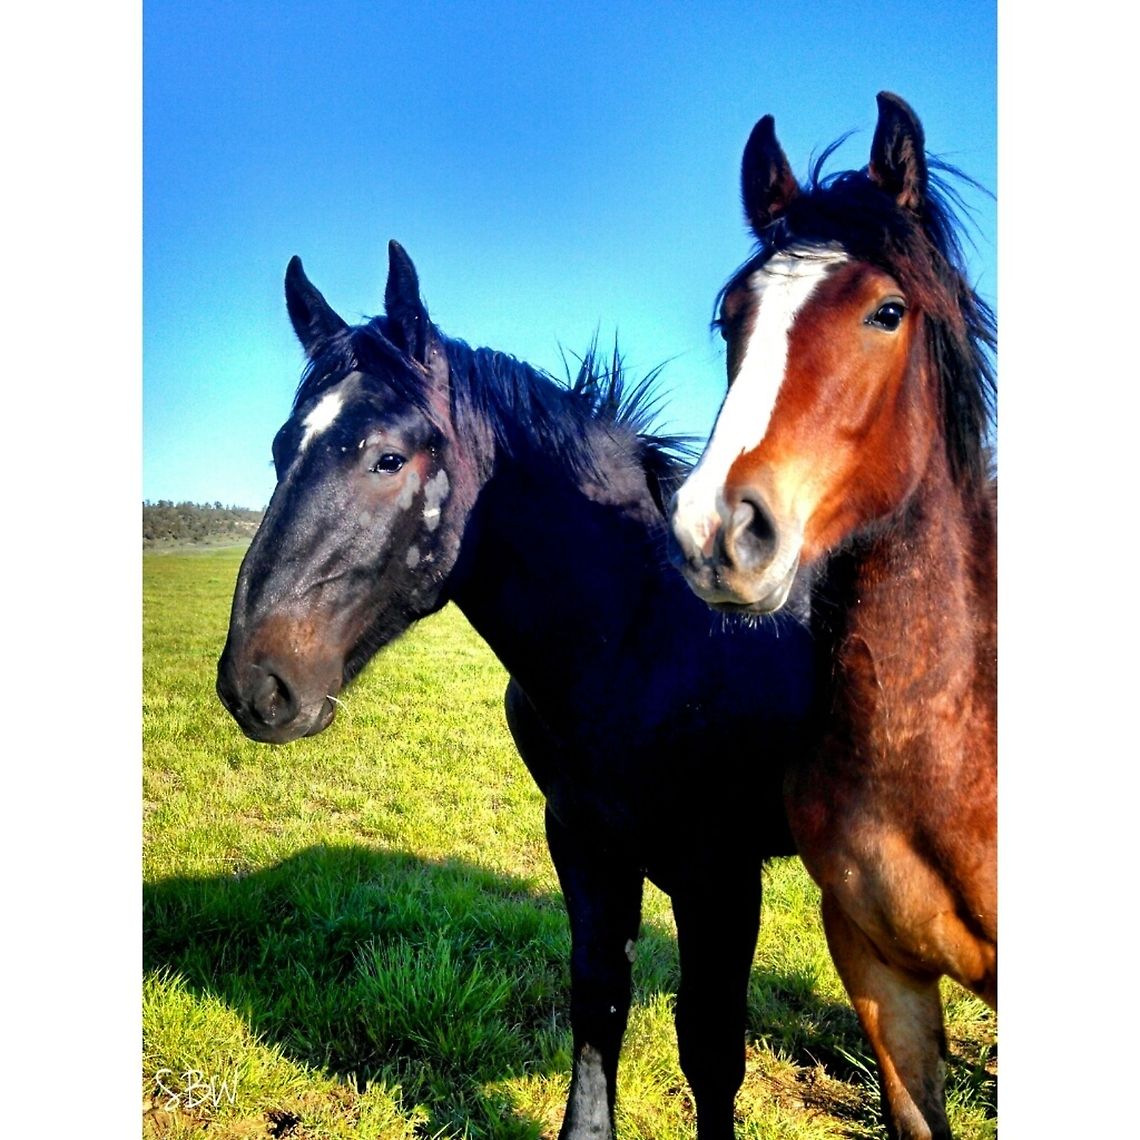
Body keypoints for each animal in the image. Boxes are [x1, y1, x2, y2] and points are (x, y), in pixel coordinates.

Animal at [216, 240, 816, 1139]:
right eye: (284, 449)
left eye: (389, 457)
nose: (256, 684)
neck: (649, 638)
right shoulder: (585, 842)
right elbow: (599, 1003)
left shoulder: (722, 876)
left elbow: (711, 1053)